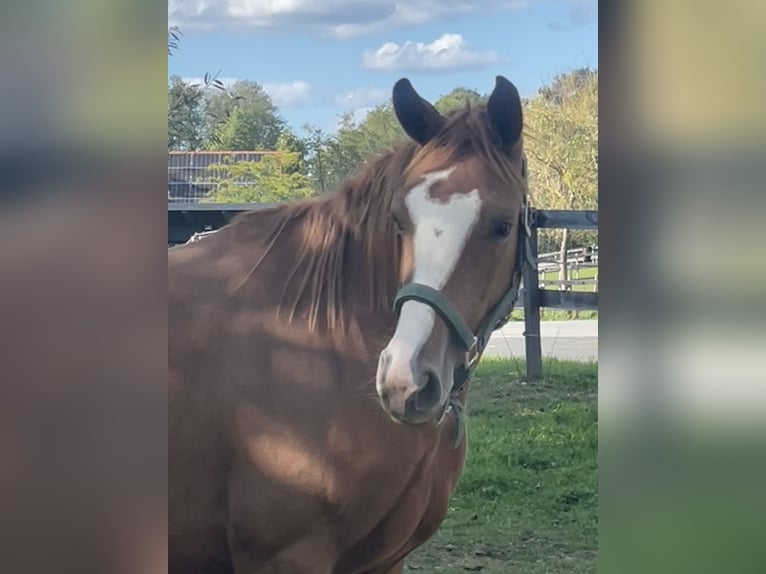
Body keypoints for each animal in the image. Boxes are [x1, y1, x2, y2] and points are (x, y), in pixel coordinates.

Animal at [168, 75, 529, 574]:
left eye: (502, 225)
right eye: (399, 219)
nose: (405, 381)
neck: (322, 340)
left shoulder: (385, 562)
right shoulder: (285, 557)